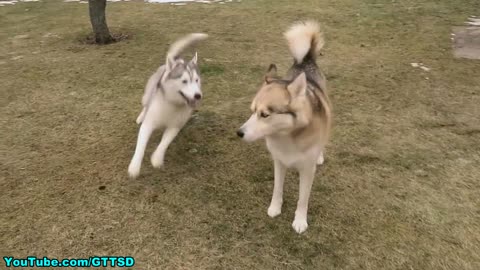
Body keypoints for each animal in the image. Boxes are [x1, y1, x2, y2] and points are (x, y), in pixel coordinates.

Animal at [127, 32, 208, 178]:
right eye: (184, 81)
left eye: (196, 80)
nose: (198, 95)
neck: (172, 103)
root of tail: (173, 63)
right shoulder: (148, 125)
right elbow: (140, 147)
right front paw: (134, 167)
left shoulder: (174, 127)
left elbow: (164, 144)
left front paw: (156, 159)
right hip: (147, 96)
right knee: (145, 105)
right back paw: (140, 116)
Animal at [237, 21, 334, 233]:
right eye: (252, 111)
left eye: (265, 115)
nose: (238, 133)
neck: (287, 136)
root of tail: (304, 61)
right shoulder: (279, 162)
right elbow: (277, 189)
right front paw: (275, 208)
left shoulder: (307, 170)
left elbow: (303, 199)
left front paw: (300, 220)